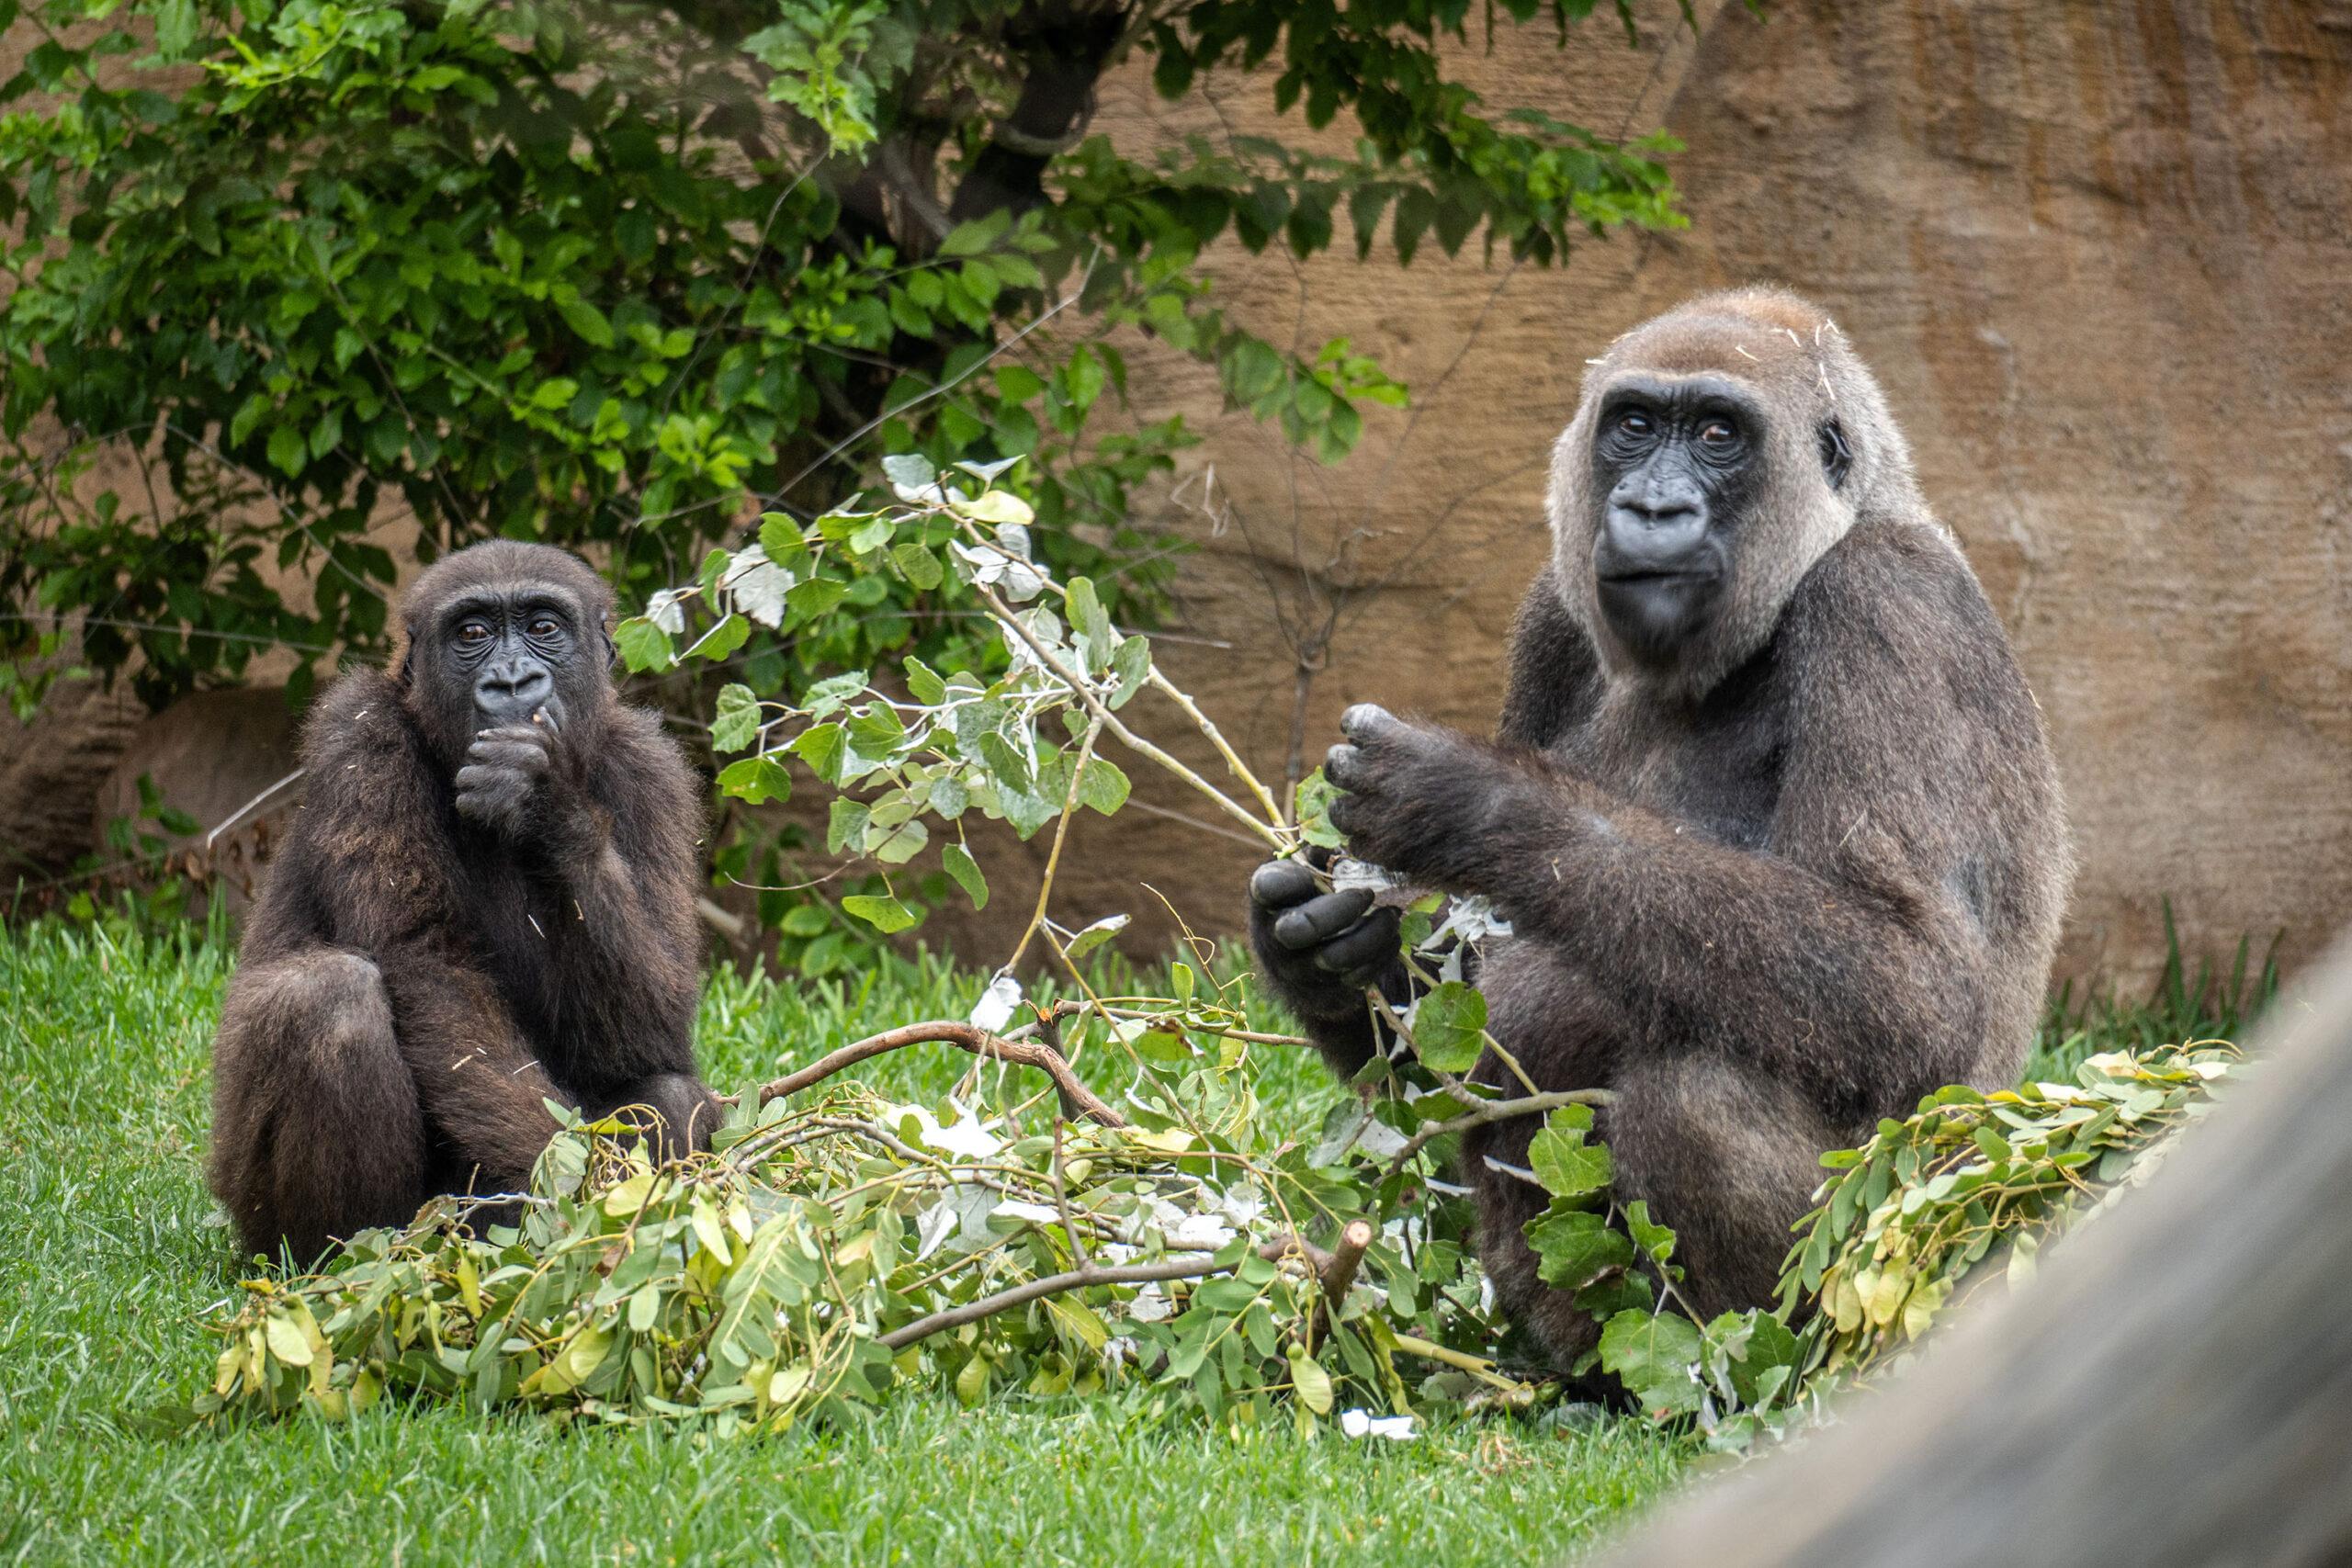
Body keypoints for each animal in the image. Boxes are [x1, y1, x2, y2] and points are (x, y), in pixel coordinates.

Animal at [210, 540, 715, 1259]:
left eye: (543, 626)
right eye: (472, 633)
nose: (512, 683)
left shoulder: (654, 770)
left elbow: (656, 1020)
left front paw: (546, 801)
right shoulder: (359, 736)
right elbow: (430, 968)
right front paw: (576, 1206)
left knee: (670, 1092)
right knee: (326, 1000)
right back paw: (349, 1260)